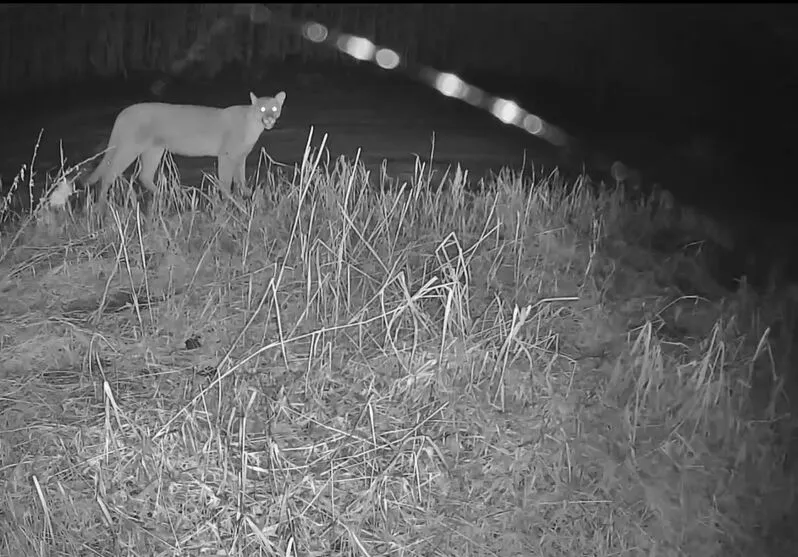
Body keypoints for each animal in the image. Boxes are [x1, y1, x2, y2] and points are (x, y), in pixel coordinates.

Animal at [86, 91, 288, 211]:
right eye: (262, 108)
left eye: (274, 108)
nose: (269, 118)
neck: (252, 124)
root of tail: (124, 111)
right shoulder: (226, 155)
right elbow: (225, 180)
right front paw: (229, 201)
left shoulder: (241, 157)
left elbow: (240, 178)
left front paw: (245, 194)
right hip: (130, 147)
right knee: (109, 173)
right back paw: (101, 205)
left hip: (154, 149)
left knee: (144, 175)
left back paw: (171, 197)